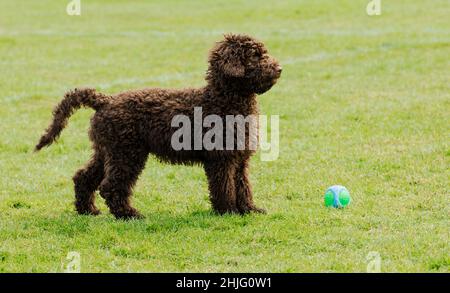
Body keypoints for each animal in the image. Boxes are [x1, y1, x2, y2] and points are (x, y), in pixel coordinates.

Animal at [35, 33, 282, 218]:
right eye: (255, 56)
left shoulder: (239, 158)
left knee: (83, 177)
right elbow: (225, 187)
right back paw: (128, 214)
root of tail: (106, 100)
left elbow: (243, 185)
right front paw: (228, 211)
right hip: (127, 153)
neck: (223, 99)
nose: (279, 68)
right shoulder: (221, 159)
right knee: (111, 186)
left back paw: (87, 210)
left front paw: (249, 209)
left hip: (107, 150)